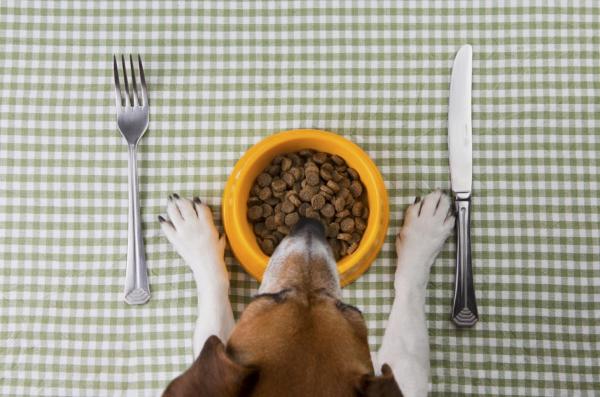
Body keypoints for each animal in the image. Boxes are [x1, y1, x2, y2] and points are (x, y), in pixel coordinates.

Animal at [157, 190, 452, 394]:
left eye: (346, 308)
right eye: (273, 296)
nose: (310, 223)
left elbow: (409, 289)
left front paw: (425, 233)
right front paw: (194, 234)